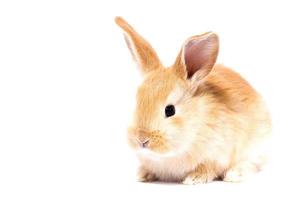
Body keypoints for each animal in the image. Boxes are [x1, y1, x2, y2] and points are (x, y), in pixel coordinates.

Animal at [115, 16, 272, 184]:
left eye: (170, 110)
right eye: (136, 103)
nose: (142, 139)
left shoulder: (216, 154)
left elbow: (208, 168)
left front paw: (194, 178)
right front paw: (142, 175)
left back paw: (234, 175)